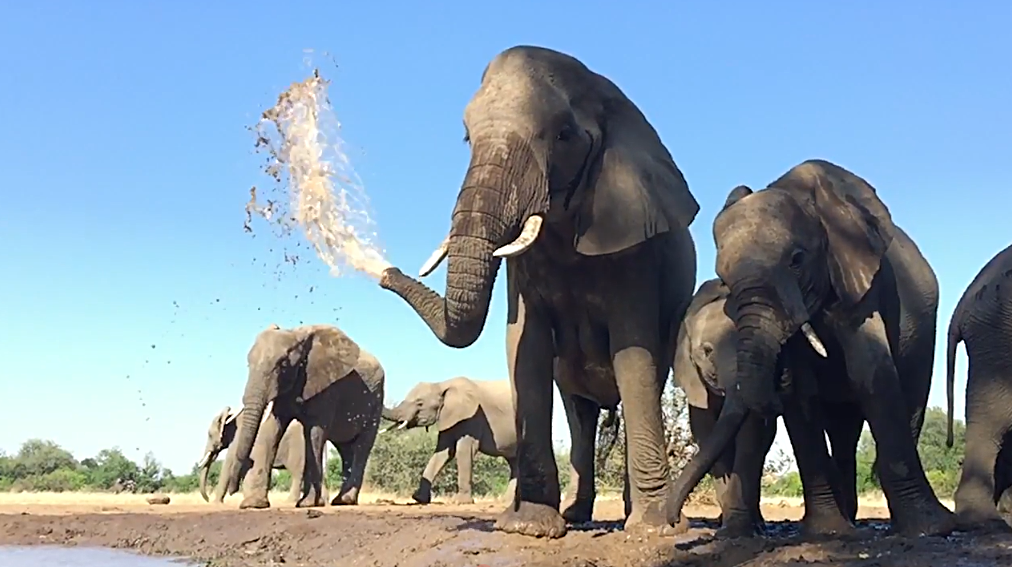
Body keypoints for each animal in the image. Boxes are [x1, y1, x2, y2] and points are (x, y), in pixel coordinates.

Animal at [220, 324, 382, 510]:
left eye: (283, 364)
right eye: (248, 364)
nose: (233, 490)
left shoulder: (326, 386)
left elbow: (314, 434)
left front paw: (308, 504)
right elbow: (272, 429)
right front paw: (254, 504)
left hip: (377, 400)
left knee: (362, 447)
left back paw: (346, 500)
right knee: (346, 449)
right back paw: (340, 500)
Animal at [376, 44, 700, 534]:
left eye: (564, 135)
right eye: (467, 137)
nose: (384, 272)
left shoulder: (635, 247)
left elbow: (633, 355)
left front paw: (654, 529)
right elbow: (523, 346)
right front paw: (529, 526)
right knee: (579, 413)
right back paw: (576, 516)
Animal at [667, 160, 951, 538]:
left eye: (797, 260)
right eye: (723, 277)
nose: (672, 522)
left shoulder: (858, 279)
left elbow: (872, 372)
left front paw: (929, 529)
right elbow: (802, 395)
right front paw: (826, 532)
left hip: (924, 331)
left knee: (911, 402)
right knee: (842, 431)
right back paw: (847, 520)